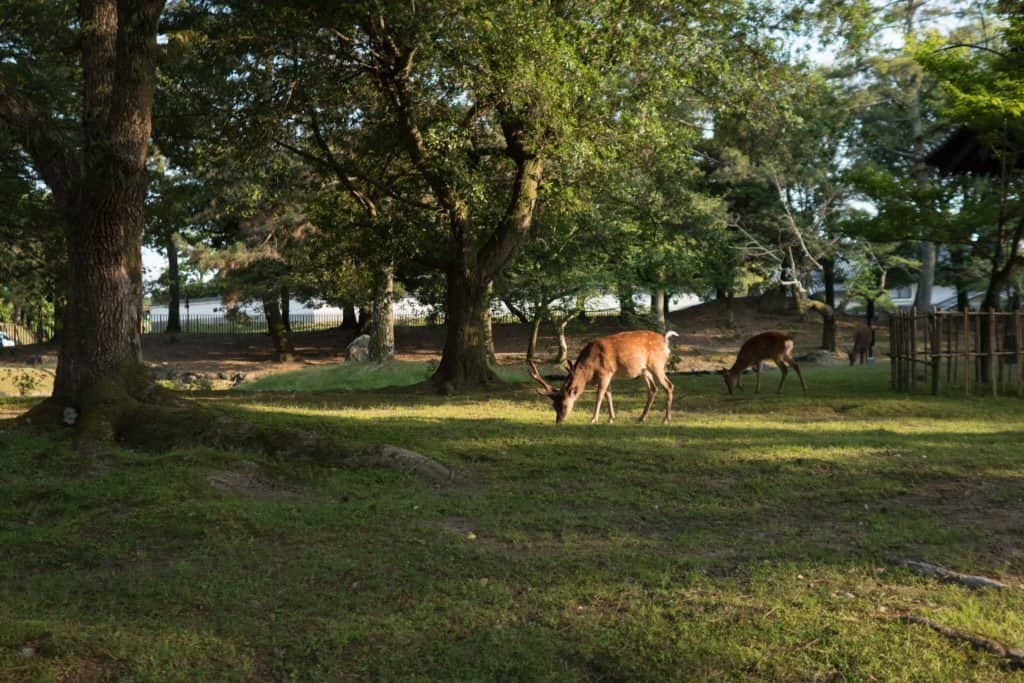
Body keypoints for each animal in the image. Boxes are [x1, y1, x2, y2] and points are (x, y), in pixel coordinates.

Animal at [528, 329, 679, 423]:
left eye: (564, 405)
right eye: (553, 405)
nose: (559, 421)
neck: (589, 371)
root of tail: (665, 342)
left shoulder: (606, 372)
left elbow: (600, 394)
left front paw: (594, 419)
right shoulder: (608, 375)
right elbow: (609, 394)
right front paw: (611, 418)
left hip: (657, 365)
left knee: (669, 386)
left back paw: (666, 419)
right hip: (644, 370)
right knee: (653, 389)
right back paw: (641, 418)